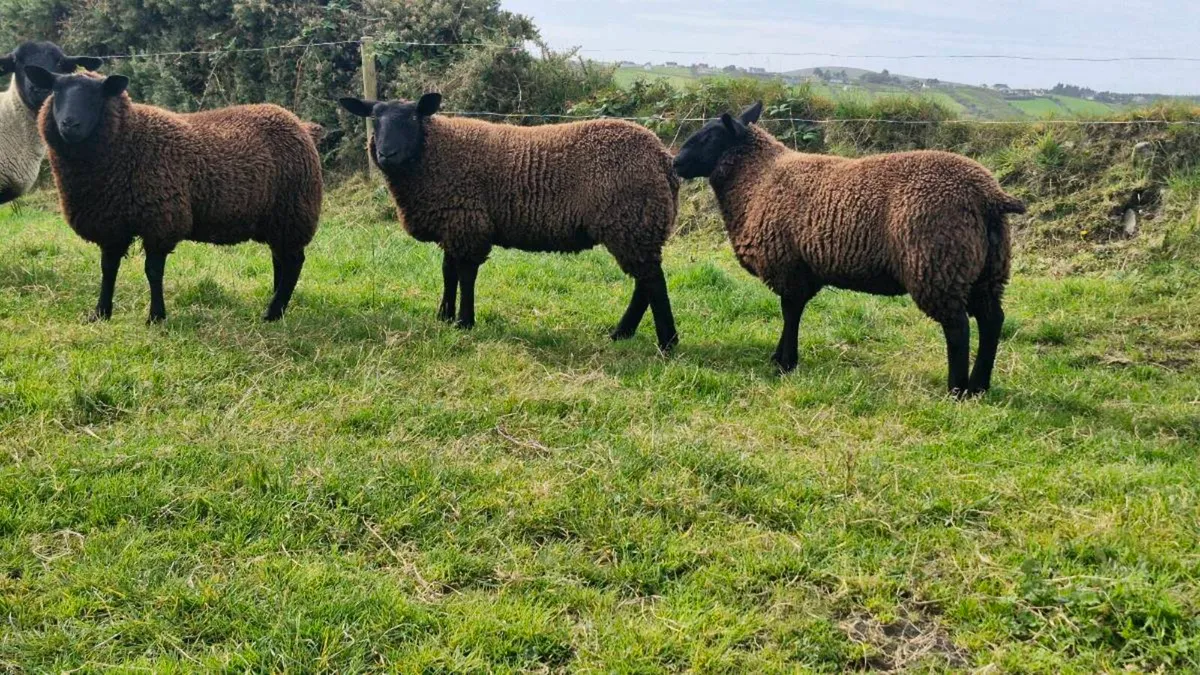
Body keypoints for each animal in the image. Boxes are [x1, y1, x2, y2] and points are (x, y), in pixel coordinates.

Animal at [25, 66, 323, 323]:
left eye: (96, 95)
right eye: (56, 91)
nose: (69, 124)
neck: (128, 142)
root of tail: (299, 124)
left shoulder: (161, 219)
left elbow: (153, 272)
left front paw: (156, 317)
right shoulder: (112, 223)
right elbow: (108, 269)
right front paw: (100, 314)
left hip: (294, 210)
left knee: (293, 262)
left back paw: (272, 312)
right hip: (277, 219)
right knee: (280, 260)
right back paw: (277, 306)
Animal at [338, 93, 681, 352]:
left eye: (412, 119)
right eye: (374, 119)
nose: (387, 153)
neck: (433, 154)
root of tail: (663, 157)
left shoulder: (469, 223)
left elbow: (466, 275)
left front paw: (464, 322)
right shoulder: (453, 223)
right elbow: (448, 272)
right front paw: (444, 316)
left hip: (631, 220)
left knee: (652, 280)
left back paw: (666, 342)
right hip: (637, 225)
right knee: (645, 281)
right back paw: (622, 334)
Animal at [673, 102, 1026, 398]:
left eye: (709, 136)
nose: (675, 163)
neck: (758, 179)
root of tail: (989, 196)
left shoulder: (787, 266)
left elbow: (789, 312)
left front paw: (786, 363)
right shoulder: (802, 270)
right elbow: (792, 312)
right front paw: (779, 356)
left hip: (937, 263)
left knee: (958, 328)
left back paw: (957, 390)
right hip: (987, 270)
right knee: (992, 320)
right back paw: (979, 387)